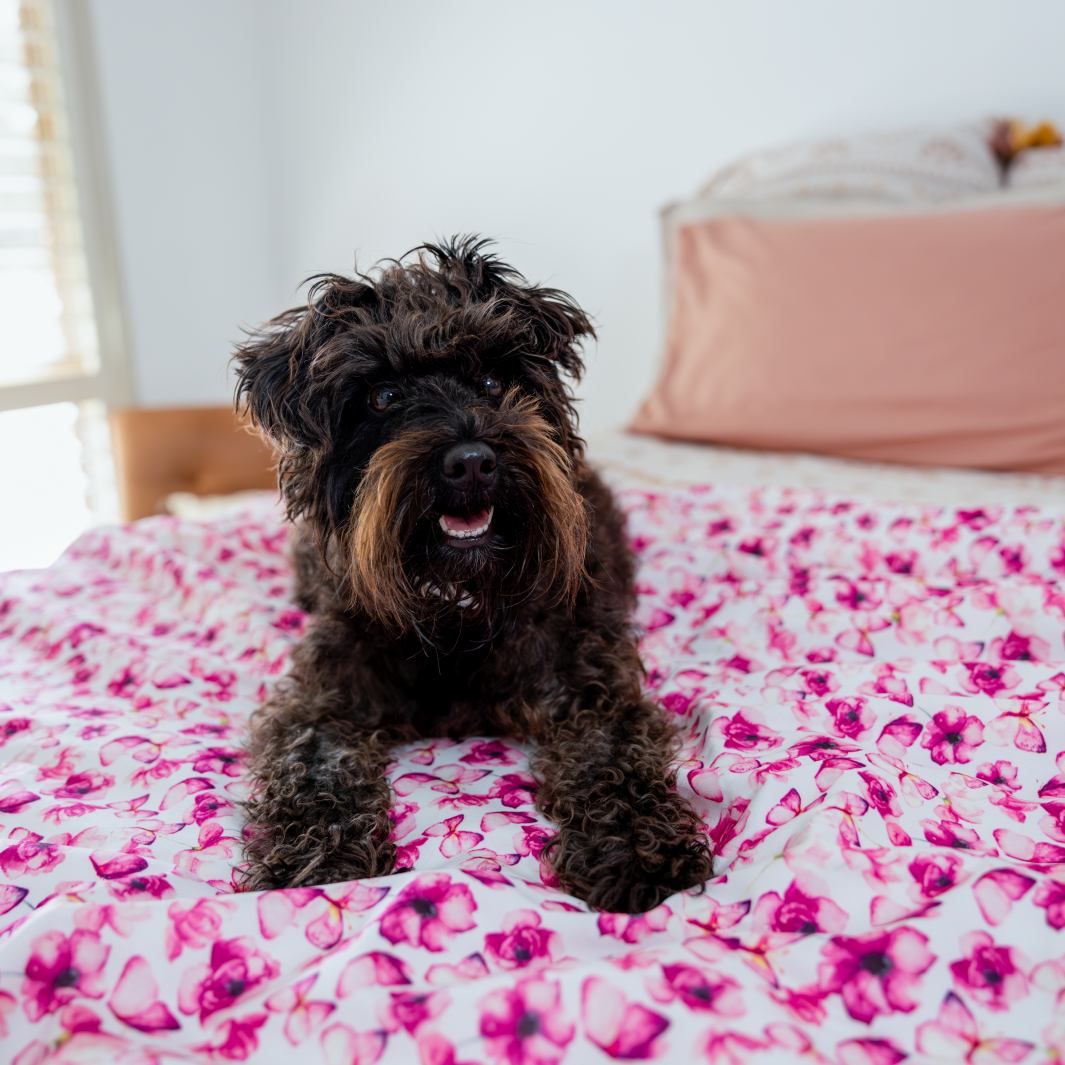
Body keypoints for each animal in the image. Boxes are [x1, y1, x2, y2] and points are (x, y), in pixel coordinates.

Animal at [234, 237, 715, 911]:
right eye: (382, 397)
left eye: (492, 380)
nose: (471, 462)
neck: (456, 605)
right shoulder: (322, 701)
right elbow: (315, 767)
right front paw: (320, 862)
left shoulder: (589, 690)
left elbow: (612, 763)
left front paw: (637, 853)